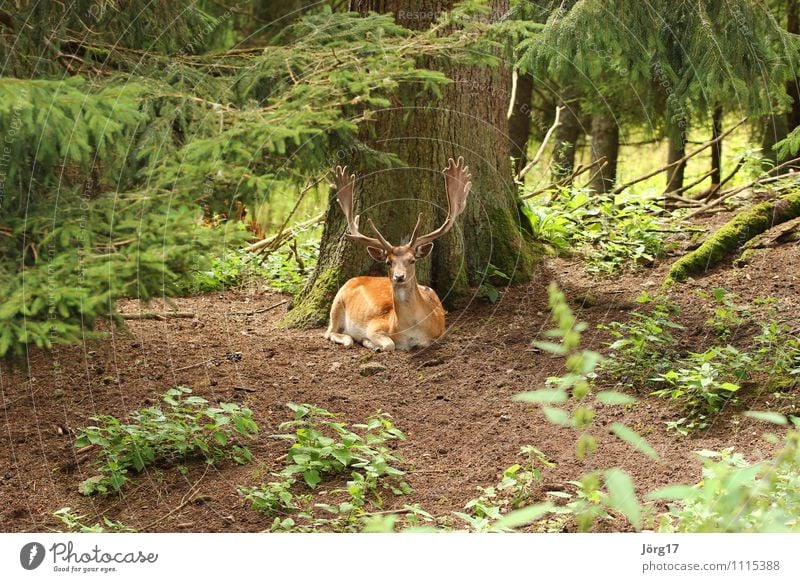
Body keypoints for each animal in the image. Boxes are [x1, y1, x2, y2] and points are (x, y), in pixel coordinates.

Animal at [324, 156, 472, 352]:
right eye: (388, 262)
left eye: (412, 260)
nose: (399, 276)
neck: (409, 330)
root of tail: (356, 278)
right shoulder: (375, 326)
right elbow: (389, 344)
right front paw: (370, 343)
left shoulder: (439, 332)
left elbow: (424, 343)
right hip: (337, 302)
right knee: (329, 332)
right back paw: (350, 339)